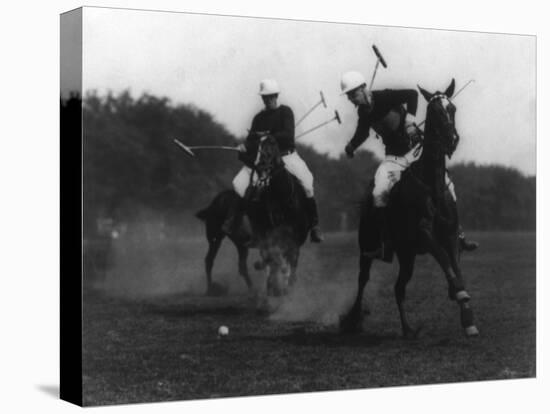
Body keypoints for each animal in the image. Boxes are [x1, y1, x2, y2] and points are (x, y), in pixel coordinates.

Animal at [342, 79, 480, 338]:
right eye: (434, 111)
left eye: (452, 108)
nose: (452, 139)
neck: (432, 184)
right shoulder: (424, 233)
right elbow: (444, 257)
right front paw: (458, 292)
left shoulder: (450, 232)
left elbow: (455, 264)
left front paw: (467, 318)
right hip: (367, 247)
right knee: (362, 279)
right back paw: (352, 320)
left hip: (407, 254)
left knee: (399, 288)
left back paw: (408, 329)